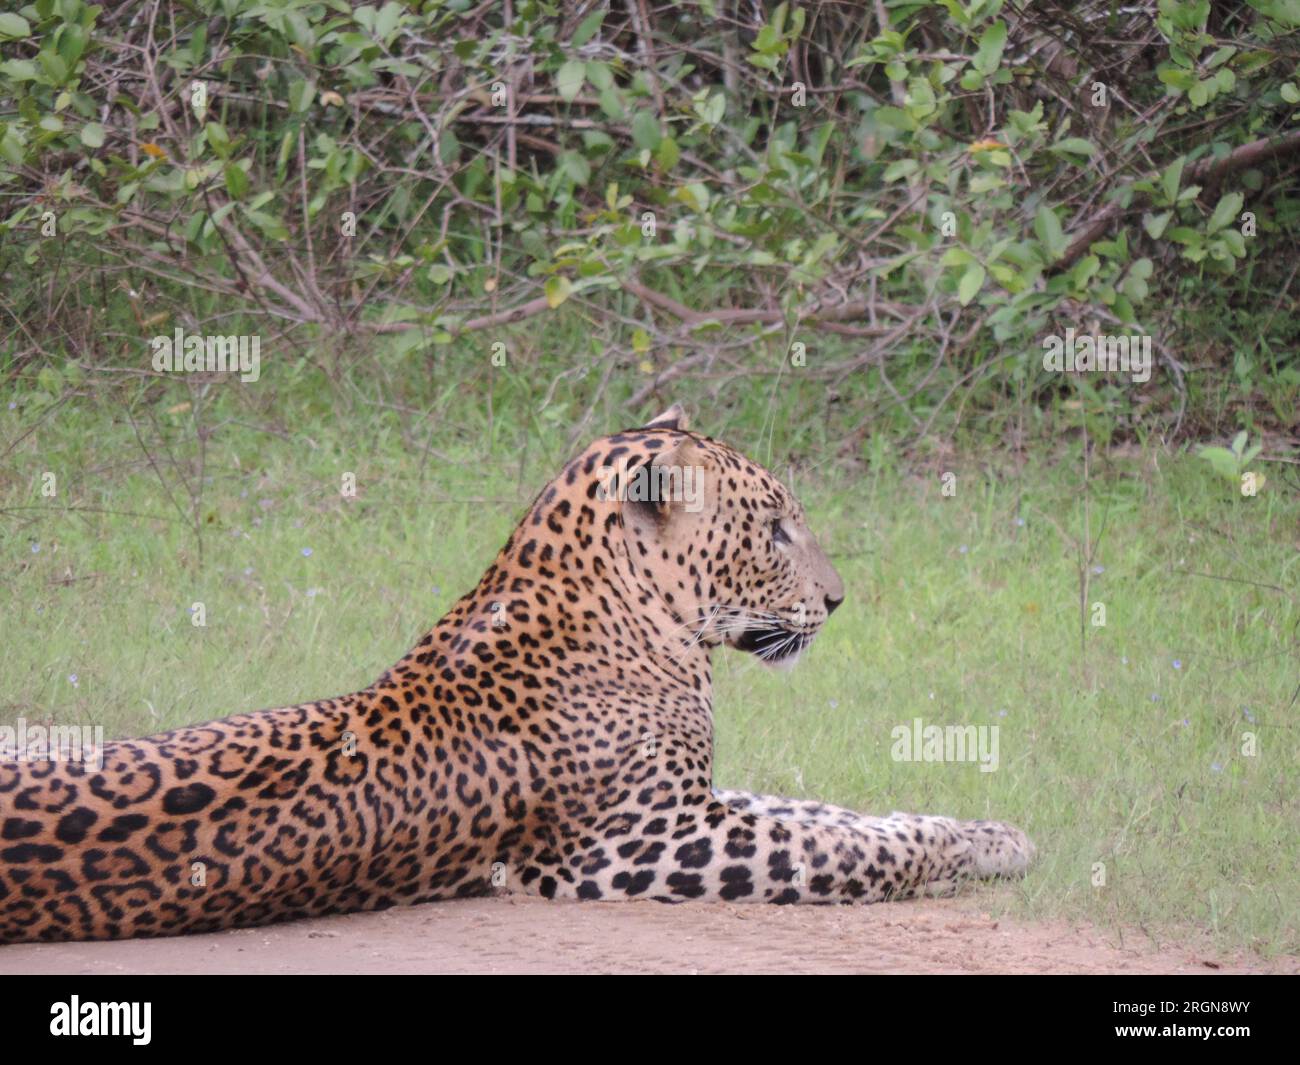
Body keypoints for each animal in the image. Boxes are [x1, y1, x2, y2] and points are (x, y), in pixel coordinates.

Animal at [2, 405, 1034, 941]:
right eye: (775, 528)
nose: (840, 598)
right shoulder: (641, 840)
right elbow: (844, 847)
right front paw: (959, 852)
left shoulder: (695, 797)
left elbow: (837, 811)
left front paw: (997, 836)